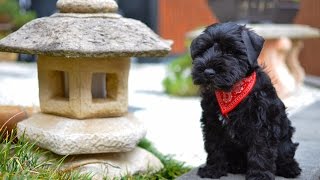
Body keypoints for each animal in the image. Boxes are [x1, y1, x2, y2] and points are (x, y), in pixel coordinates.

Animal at [191, 22, 302, 180]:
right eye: (203, 50)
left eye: (230, 51)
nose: (208, 72)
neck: (230, 91)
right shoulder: (212, 124)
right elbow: (214, 147)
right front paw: (213, 169)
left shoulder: (261, 125)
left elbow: (261, 150)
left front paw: (259, 175)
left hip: (285, 138)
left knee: (287, 152)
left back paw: (290, 168)